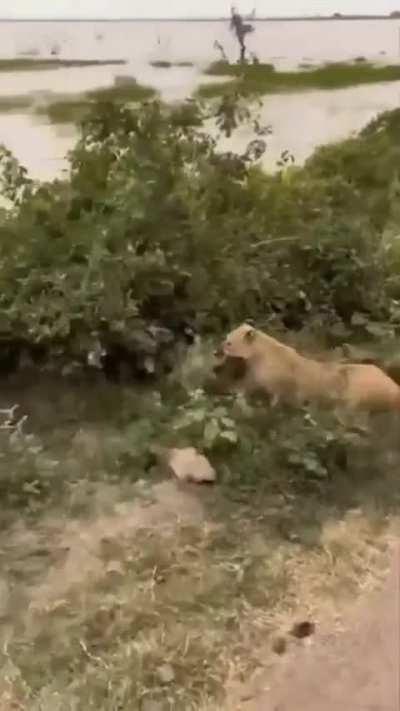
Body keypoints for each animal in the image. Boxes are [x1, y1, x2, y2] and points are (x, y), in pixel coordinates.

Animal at [217, 323, 400, 414]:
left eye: (229, 342)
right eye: (226, 337)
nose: (215, 351)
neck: (260, 356)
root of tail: (394, 386)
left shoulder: (280, 385)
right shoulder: (254, 377)